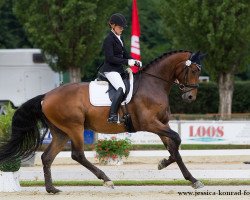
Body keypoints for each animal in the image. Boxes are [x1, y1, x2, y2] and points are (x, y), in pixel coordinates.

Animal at [0, 49, 205, 193]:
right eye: (193, 70)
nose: (190, 97)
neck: (154, 85)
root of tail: (46, 96)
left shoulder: (162, 124)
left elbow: (174, 148)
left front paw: (190, 178)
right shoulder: (150, 124)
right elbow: (177, 139)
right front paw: (167, 165)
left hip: (60, 132)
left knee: (47, 157)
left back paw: (52, 189)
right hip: (74, 128)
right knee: (78, 155)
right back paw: (106, 179)